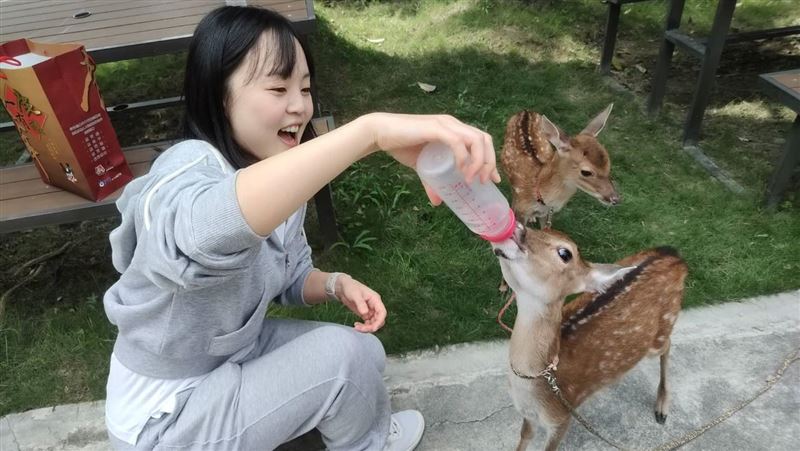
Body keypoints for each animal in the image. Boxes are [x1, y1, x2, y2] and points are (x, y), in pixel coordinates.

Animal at [492, 223, 687, 451]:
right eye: (541, 228)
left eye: (565, 253)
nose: (517, 228)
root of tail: (675, 256)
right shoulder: (528, 414)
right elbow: (524, 436)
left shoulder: (561, 416)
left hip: (660, 333)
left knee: (668, 344)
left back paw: (662, 408)